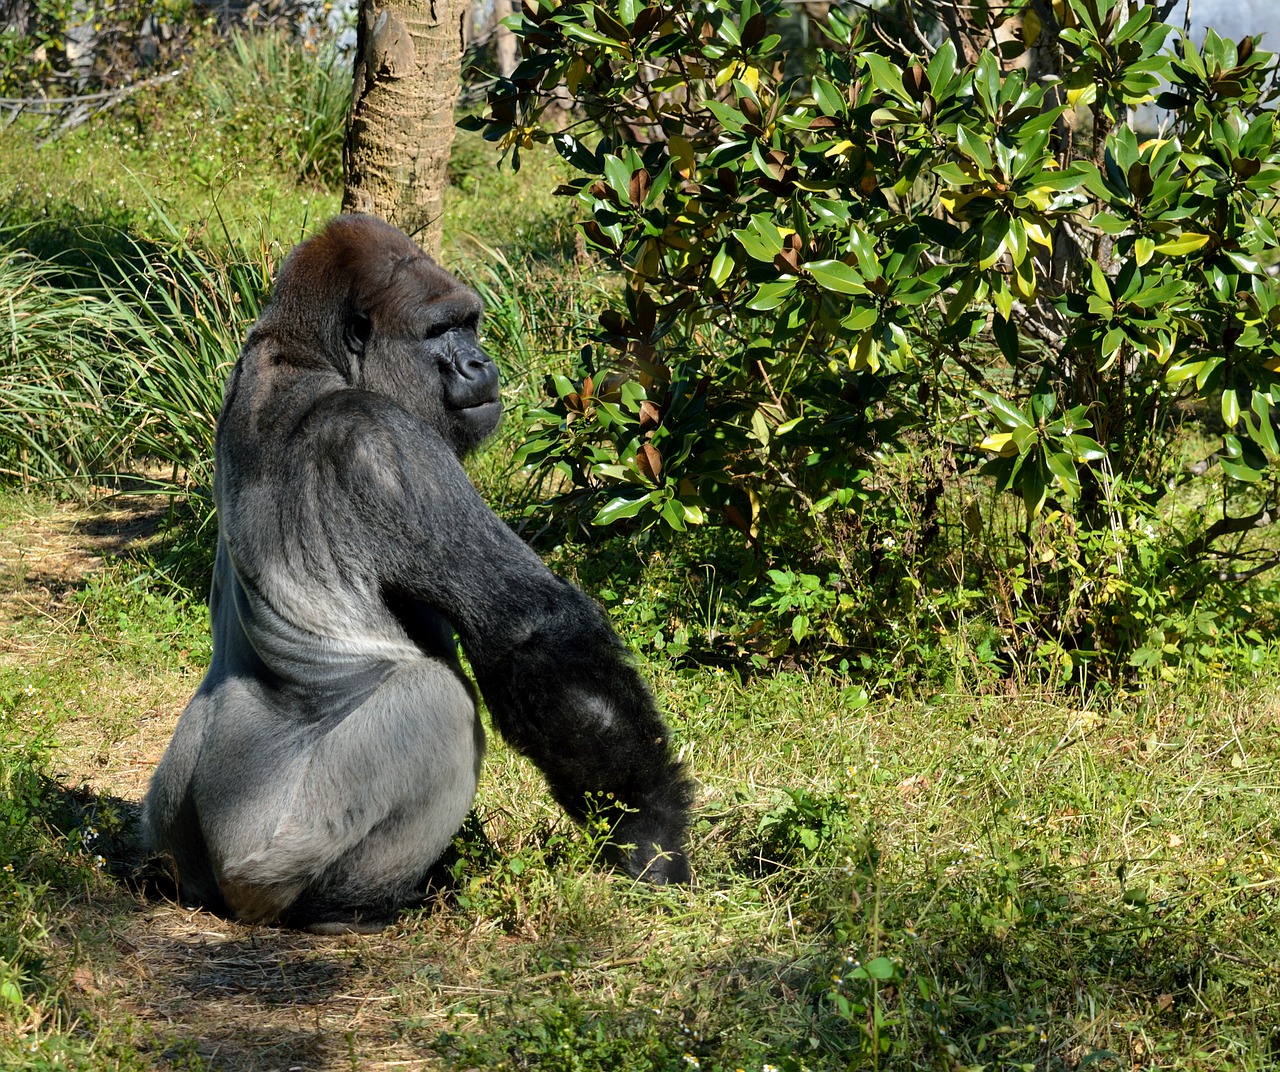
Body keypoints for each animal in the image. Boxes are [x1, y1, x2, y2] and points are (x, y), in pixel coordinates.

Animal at [142, 212, 691, 931]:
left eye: (470, 324)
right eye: (438, 332)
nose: (480, 363)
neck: (304, 354)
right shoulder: (386, 443)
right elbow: (532, 634)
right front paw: (650, 835)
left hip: (170, 823)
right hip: (267, 856)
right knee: (437, 699)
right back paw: (356, 907)